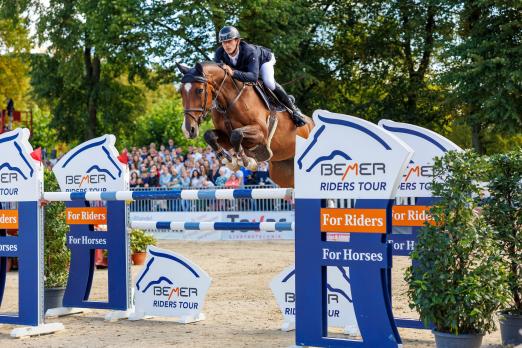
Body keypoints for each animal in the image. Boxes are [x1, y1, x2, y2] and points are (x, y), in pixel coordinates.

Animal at [175, 61, 312, 189]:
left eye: (200, 90)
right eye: (181, 91)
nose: (188, 130)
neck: (228, 103)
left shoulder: (261, 133)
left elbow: (236, 134)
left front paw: (245, 160)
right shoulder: (226, 137)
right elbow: (210, 135)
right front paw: (227, 159)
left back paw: (298, 115)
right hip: (284, 172)